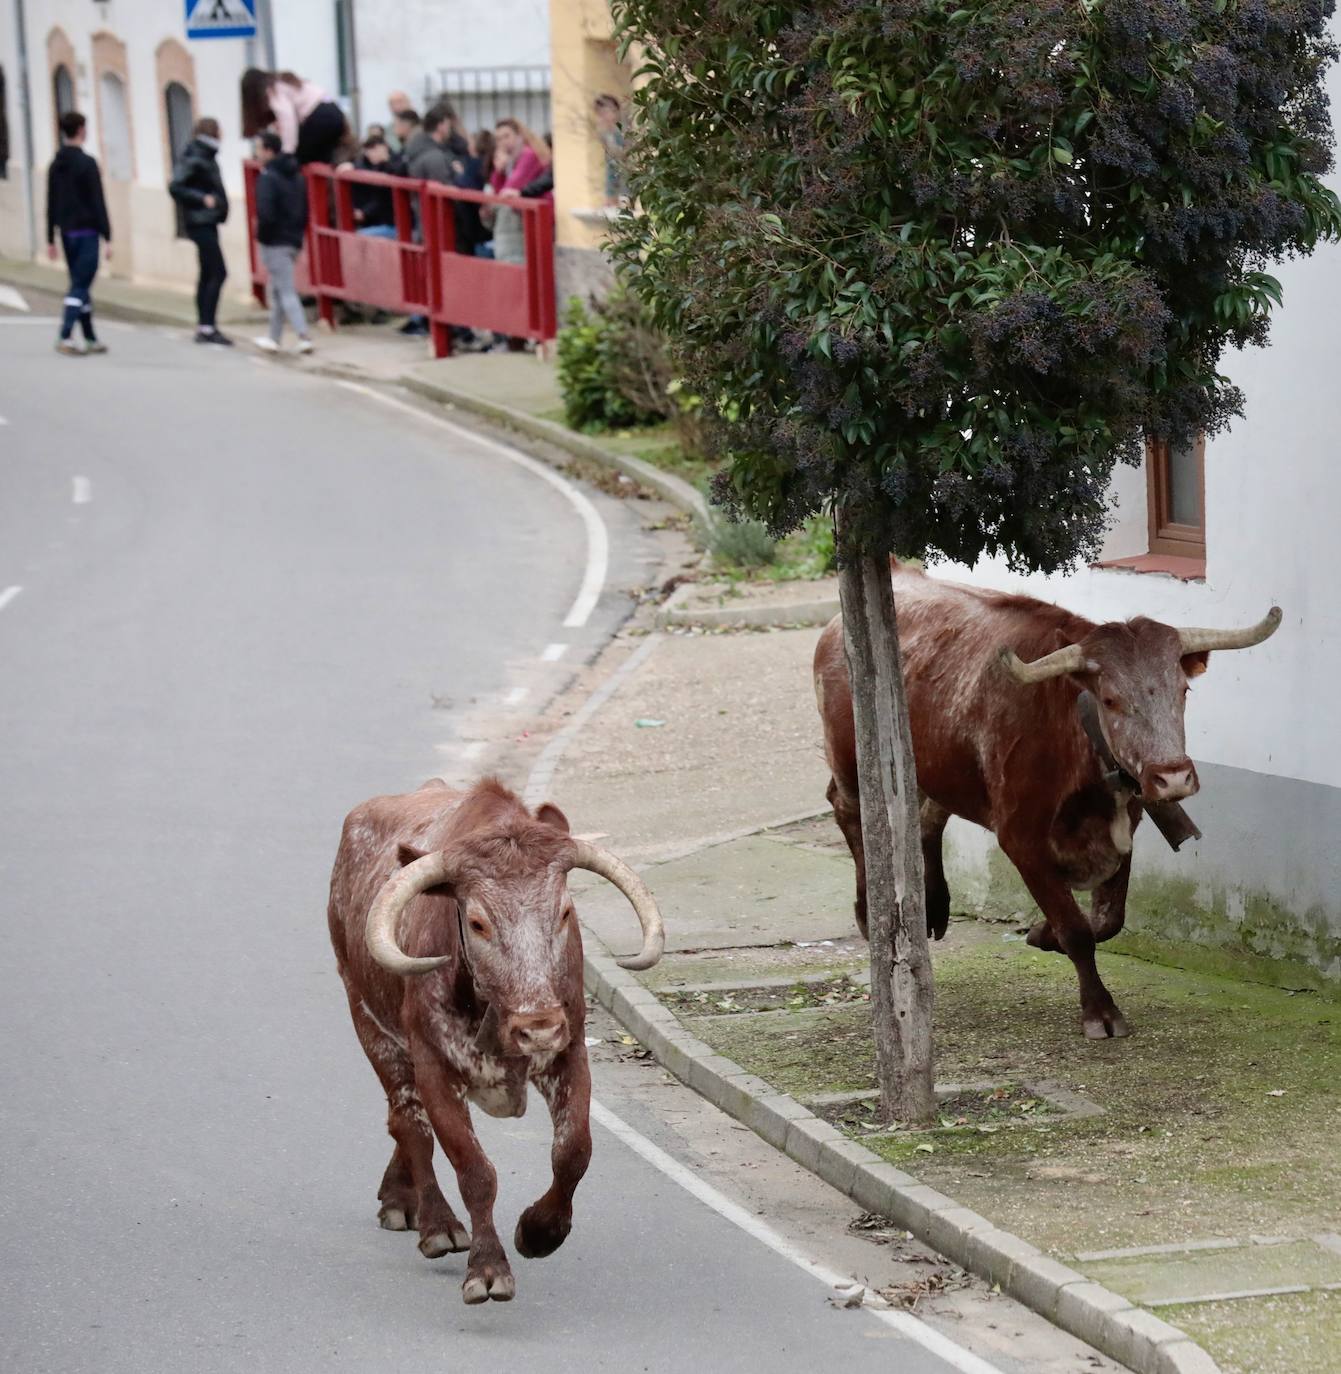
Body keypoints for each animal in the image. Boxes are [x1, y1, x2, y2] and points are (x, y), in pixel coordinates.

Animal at [324, 780, 659, 1302]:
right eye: (479, 922)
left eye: (565, 912)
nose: (538, 1025)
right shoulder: (435, 1067)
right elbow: (474, 1170)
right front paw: (487, 1268)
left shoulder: (569, 1055)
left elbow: (573, 1151)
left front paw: (540, 1232)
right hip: (370, 1026)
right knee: (409, 1123)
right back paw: (434, 1222)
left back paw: (398, 1196)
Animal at [813, 563, 1286, 1033]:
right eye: (1110, 700)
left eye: (1183, 691)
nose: (1172, 778)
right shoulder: (1022, 839)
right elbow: (1077, 929)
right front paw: (1099, 1010)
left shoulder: (1123, 832)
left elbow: (1107, 921)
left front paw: (1044, 934)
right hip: (853, 759)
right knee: (850, 811)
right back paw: (869, 914)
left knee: (929, 815)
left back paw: (934, 906)